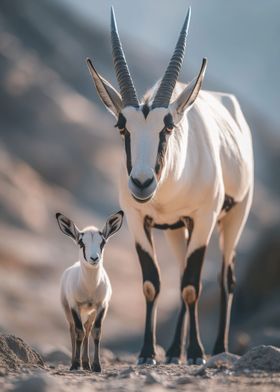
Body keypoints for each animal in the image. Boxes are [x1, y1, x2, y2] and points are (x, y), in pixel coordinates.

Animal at [55, 211, 123, 370]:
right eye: (81, 242)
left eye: (102, 242)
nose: (94, 258)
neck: (90, 287)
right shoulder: (74, 305)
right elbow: (78, 332)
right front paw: (75, 364)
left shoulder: (102, 306)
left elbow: (96, 332)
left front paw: (97, 366)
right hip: (68, 310)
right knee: (73, 330)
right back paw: (75, 362)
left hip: (90, 312)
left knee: (87, 329)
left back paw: (86, 364)